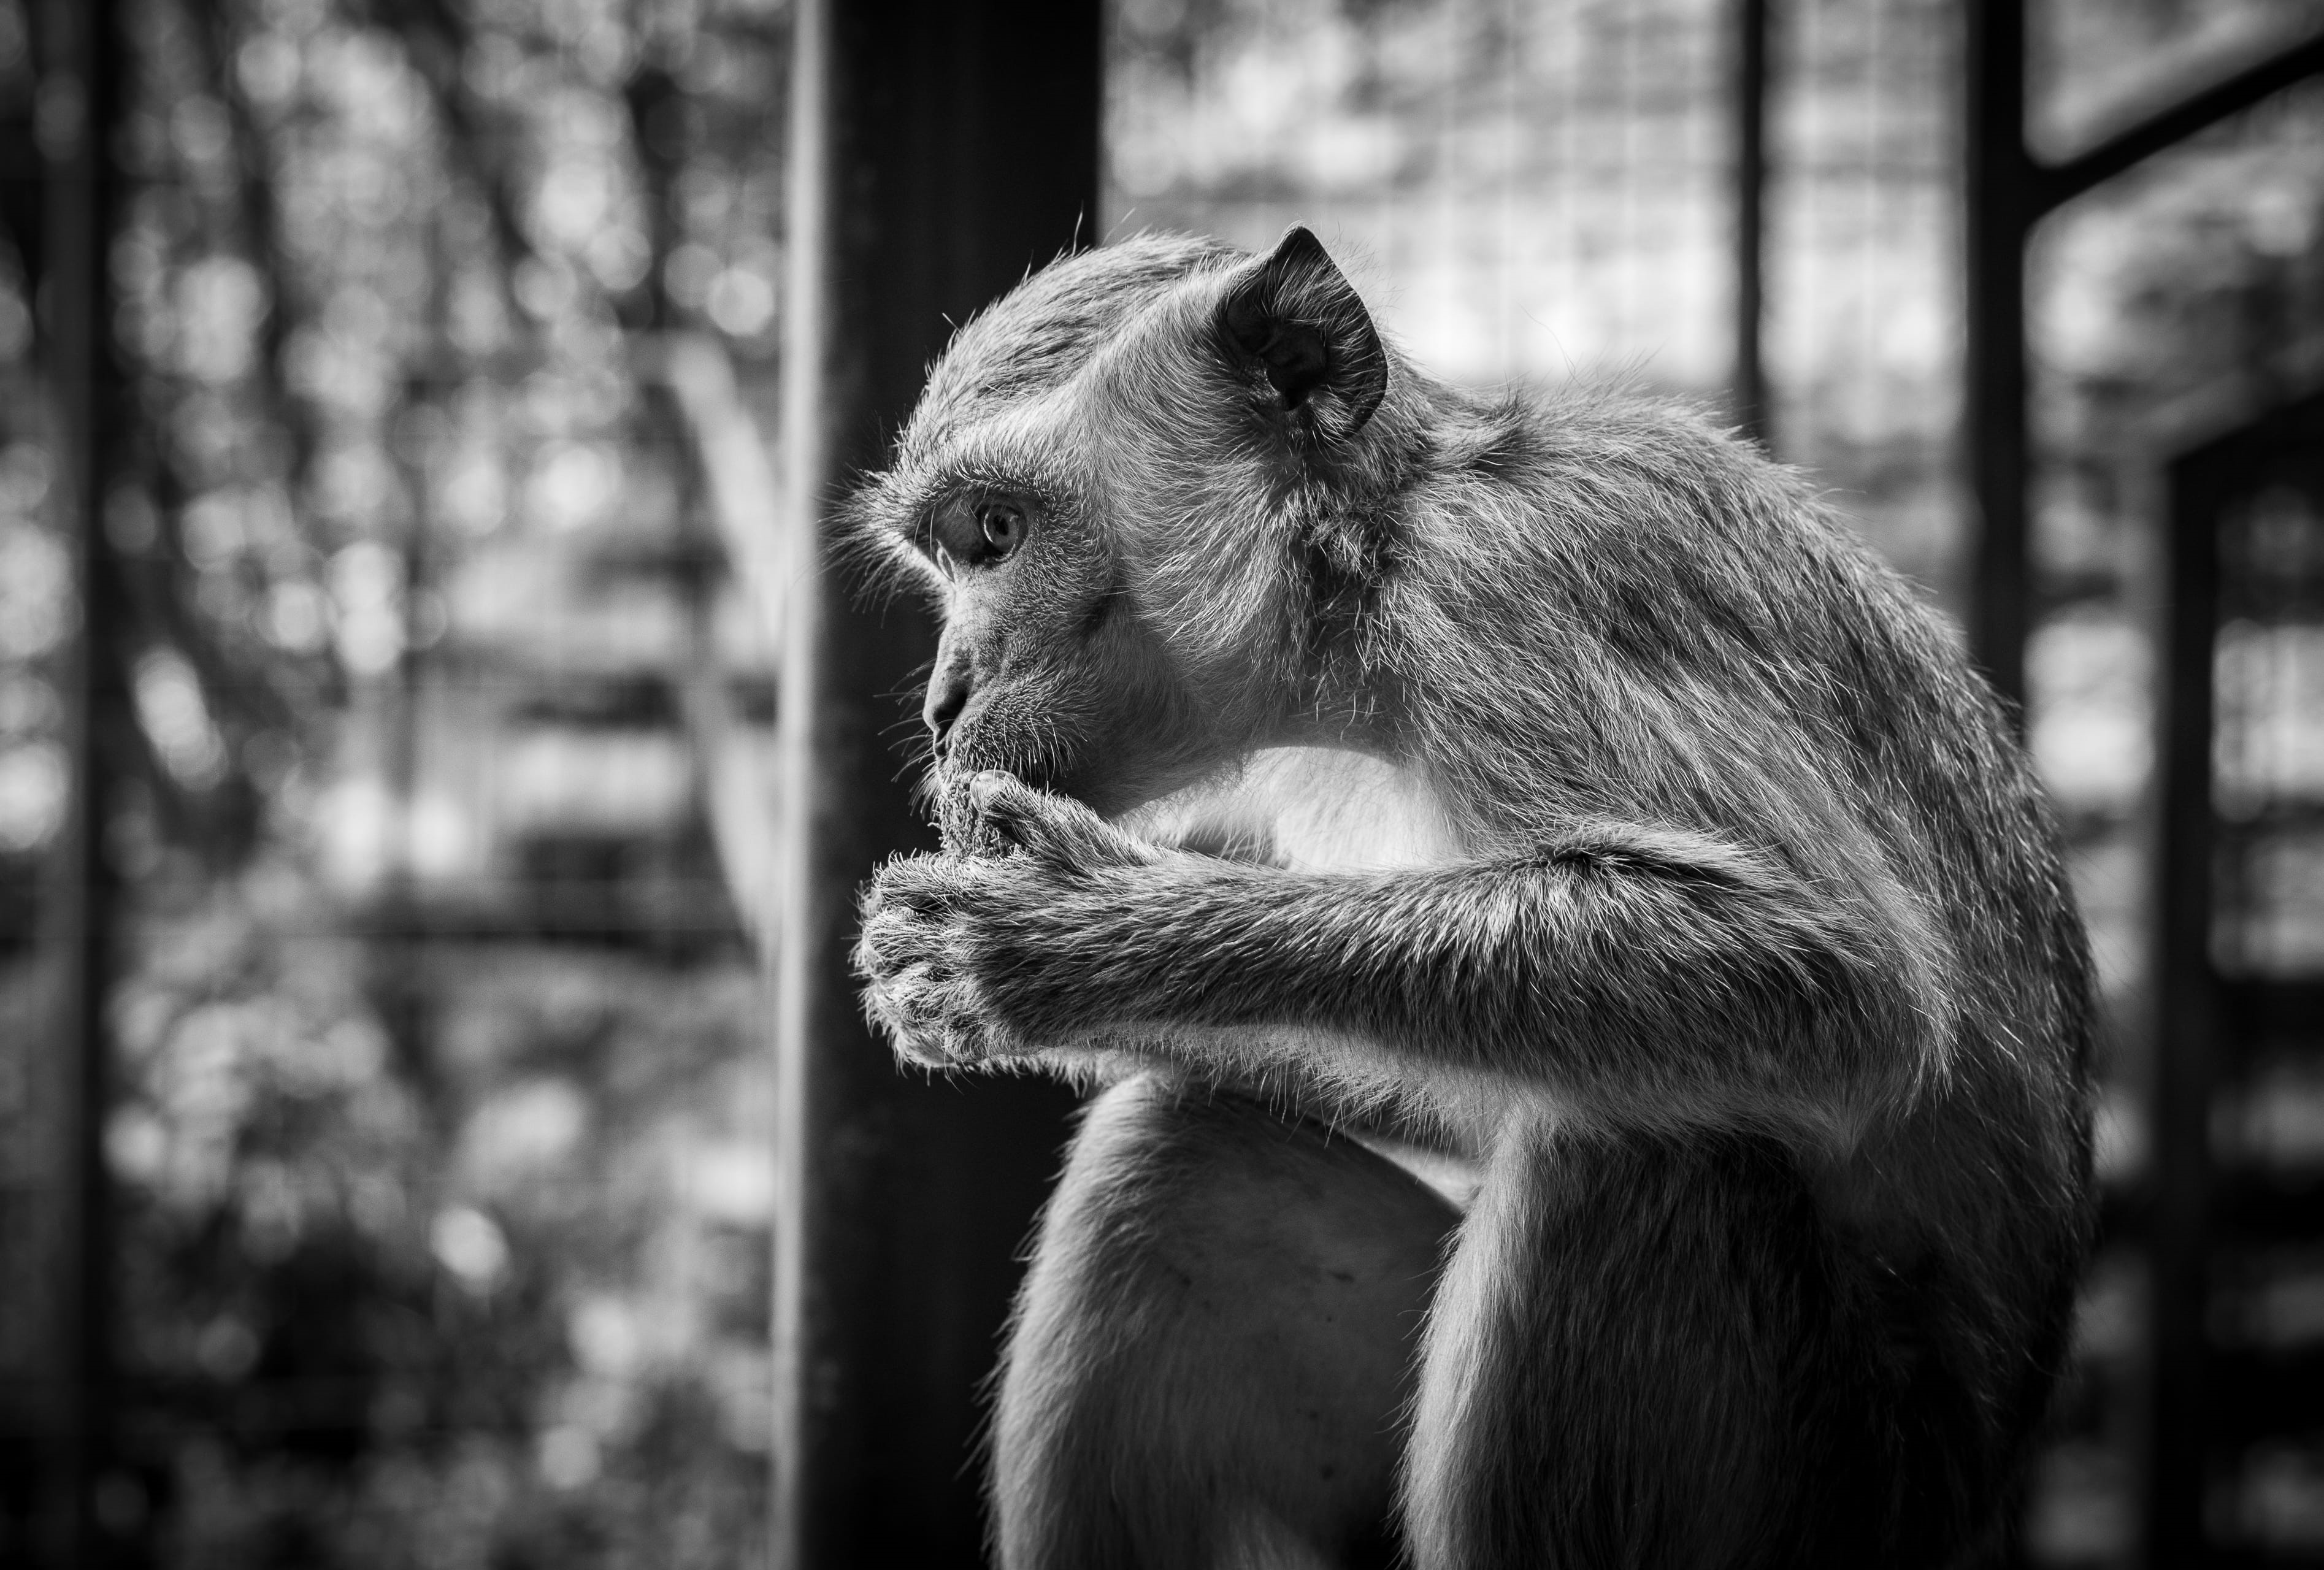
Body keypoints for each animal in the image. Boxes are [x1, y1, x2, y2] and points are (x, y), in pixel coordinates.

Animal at [849, 226, 2094, 1570]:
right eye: (950, 549)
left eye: (992, 530)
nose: (942, 699)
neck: (1366, 575)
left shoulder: (1507, 590)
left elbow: (1835, 975)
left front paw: (1075, 935)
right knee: (1175, 1153)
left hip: (1819, 1482)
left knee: (1649, 1136)